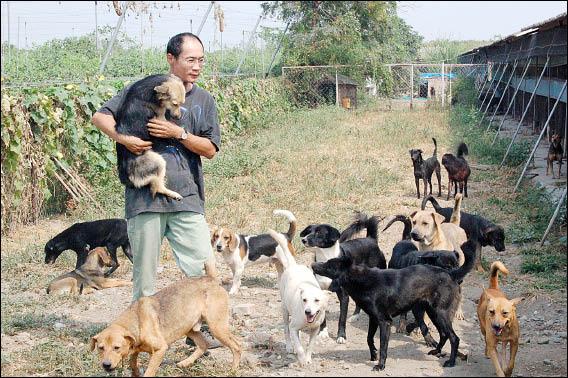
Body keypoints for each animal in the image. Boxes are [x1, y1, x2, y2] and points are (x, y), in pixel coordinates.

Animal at [90, 262, 240, 376]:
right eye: (100, 348)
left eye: (117, 347)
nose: (106, 365)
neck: (136, 321)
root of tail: (211, 279)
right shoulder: (135, 349)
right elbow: (132, 362)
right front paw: (135, 371)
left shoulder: (160, 349)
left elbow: (149, 372)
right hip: (189, 328)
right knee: (204, 344)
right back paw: (185, 363)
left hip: (217, 327)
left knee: (236, 345)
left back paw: (233, 370)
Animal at [270, 227, 328, 366]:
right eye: (304, 300)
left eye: (317, 300)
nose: (307, 311)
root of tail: (293, 265)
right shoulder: (294, 327)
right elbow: (300, 347)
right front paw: (302, 359)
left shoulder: (315, 330)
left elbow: (310, 345)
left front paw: (308, 358)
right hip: (284, 310)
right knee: (287, 329)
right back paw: (289, 346)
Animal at [298, 211, 386, 344]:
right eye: (308, 231)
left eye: (319, 232)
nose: (304, 240)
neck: (326, 259)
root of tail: (371, 239)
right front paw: (323, 332)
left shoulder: (344, 295)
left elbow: (342, 319)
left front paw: (341, 336)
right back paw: (355, 316)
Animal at [312, 241, 478, 370]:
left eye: (329, 265)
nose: (313, 264)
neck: (362, 280)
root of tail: (451, 274)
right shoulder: (374, 318)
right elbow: (369, 338)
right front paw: (373, 354)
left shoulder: (385, 322)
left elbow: (383, 346)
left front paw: (381, 365)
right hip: (433, 313)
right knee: (444, 334)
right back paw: (436, 351)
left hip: (440, 314)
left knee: (454, 338)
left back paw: (451, 361)